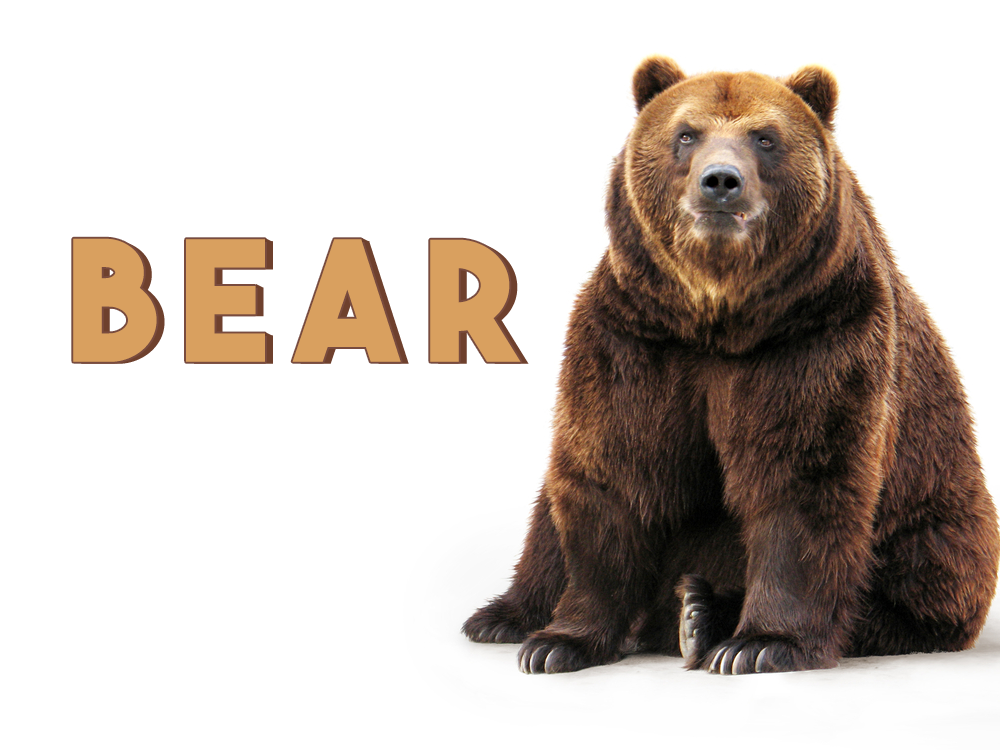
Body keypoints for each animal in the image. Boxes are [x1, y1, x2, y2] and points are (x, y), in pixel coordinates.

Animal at [463, 57, 1000, 675]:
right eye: (686, 133)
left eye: (765, 137)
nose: (720, 180)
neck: (718, 316)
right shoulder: (636, 338)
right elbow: (614, 469)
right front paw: (558, 642)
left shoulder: (816, 336)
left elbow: (801, 479)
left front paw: (761, 643)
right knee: (548, 517)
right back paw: (506, 616)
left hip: (939, 518)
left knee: (914, 579)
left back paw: (701, 614)